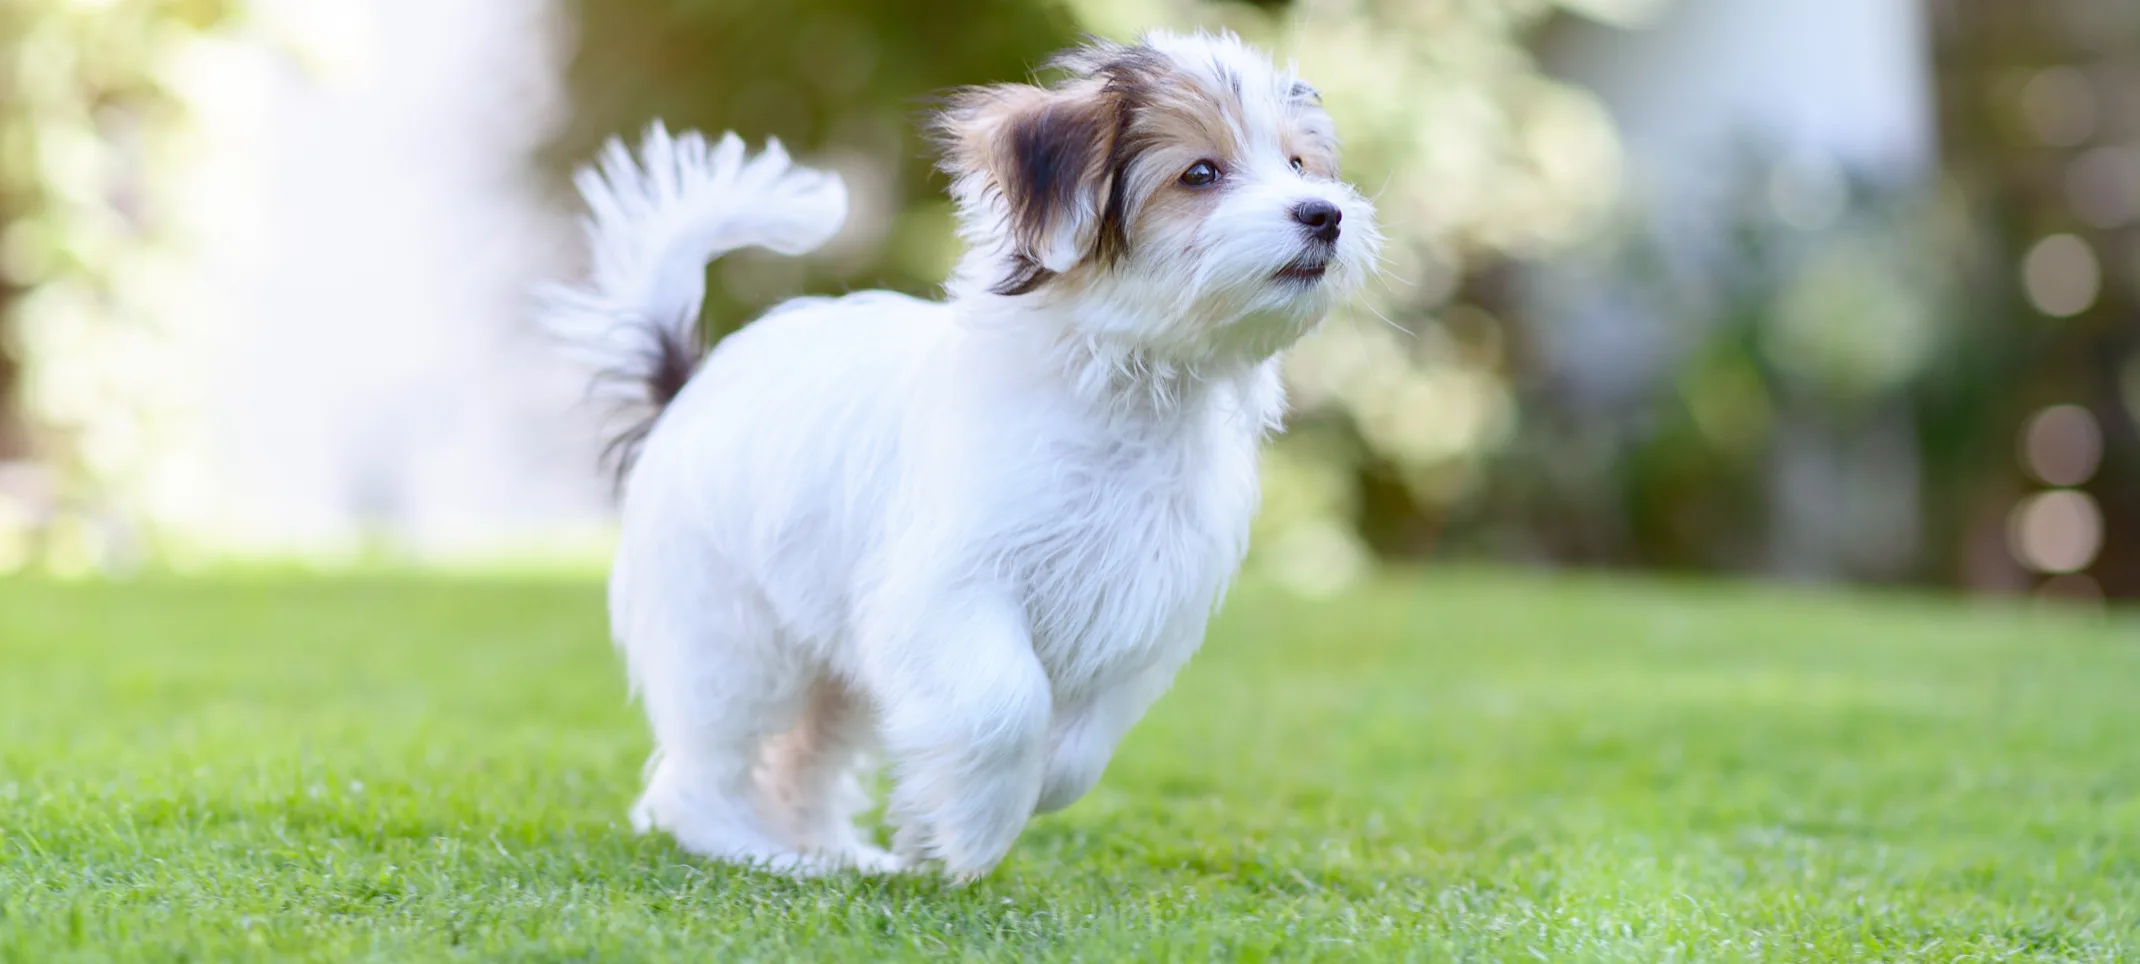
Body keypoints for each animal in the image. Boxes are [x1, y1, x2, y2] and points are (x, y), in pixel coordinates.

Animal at [543, 30, 1378, 878]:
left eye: (1300, 165)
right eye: (1201, 173)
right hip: (731, 635)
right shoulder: (948, 587)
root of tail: (687, 388)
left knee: (806, 760)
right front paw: (976, 826)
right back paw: (756, 851)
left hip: (831, 663)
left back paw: (838, 854)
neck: (1128, 383)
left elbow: (1081, 749)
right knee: (700, 770)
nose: (1325, 214)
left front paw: (942, 816)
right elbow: (1004, 701)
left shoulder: (1140, 610)